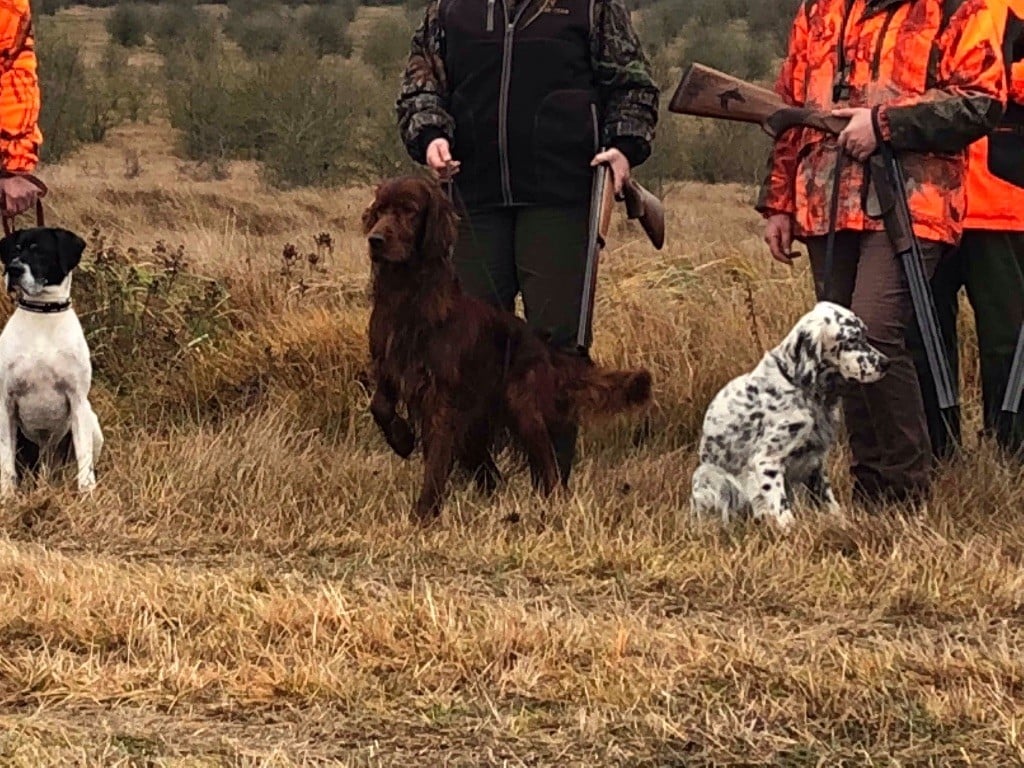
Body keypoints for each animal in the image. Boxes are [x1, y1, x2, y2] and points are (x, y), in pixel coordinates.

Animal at [0, 225, 102, 495]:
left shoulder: (78, 401)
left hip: (92, 421)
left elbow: (84, 458)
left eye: (40, 251)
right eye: (15, 249)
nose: (13, 270)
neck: (42, 314)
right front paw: (7, 494)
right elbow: (6, 458)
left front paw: (87, 493)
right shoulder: (6, 402)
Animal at [362, 174, 647, 524]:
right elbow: (380, 405)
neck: (408, 296)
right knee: (487, 465)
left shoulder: (441, 393)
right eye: (380, 210)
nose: (375, 239)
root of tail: (538, 341)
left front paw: (425, 511)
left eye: (409, 210)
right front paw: (402, 440)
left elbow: (437, 456)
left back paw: (553, 503)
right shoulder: (389, 365)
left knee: (546, 459)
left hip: (522, 405)